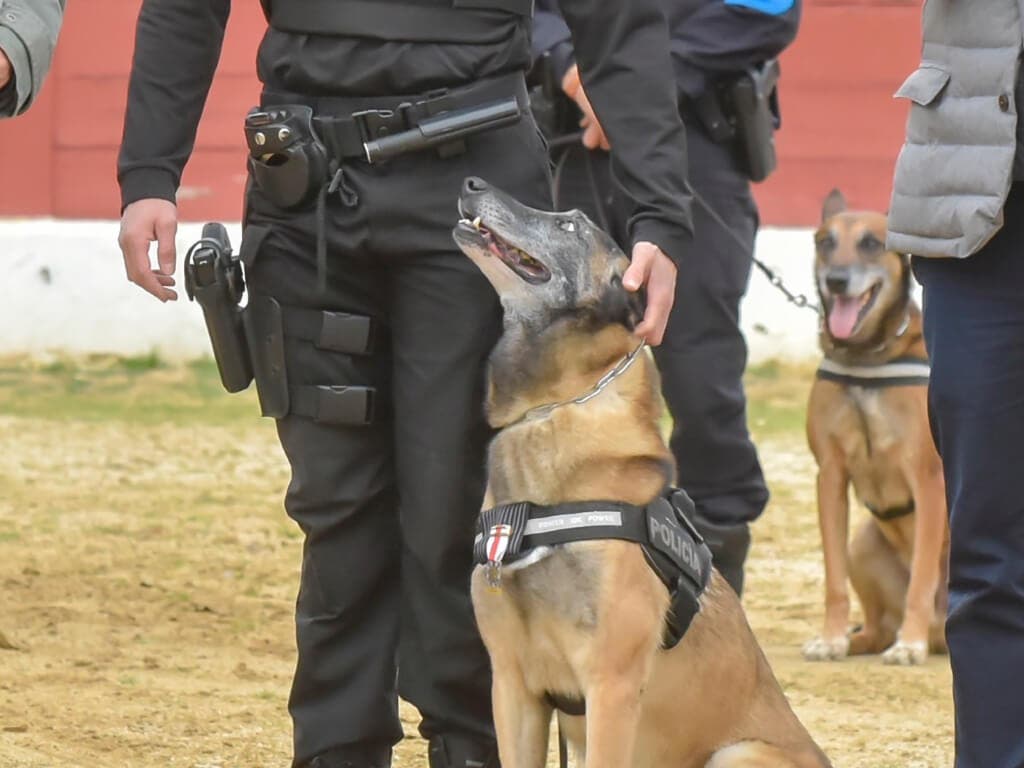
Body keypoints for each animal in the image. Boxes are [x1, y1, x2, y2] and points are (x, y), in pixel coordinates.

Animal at [452, 179, 827, 768]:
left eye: (570, 225)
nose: (473, 183)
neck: (550, 412)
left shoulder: (611, 687)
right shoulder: (513, 689)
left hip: (737, 754)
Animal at [802, 191, 946, 667]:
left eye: (871, 244)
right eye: (825, 242)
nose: (836, 281)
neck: (867, 357)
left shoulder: (929, 480)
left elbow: (922, 576)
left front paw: (910, 644)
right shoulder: (830, 476)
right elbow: (833, 579)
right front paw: (830, 638)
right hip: (862, 545)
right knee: (878, 627)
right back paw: (856, 639)